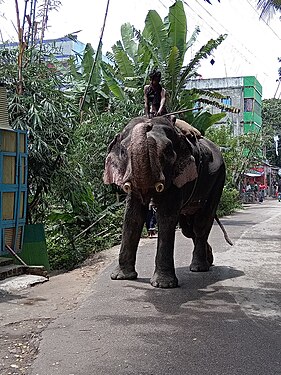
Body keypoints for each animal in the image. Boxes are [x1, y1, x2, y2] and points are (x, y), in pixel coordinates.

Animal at [104, 116, 226, 290]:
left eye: (168, 151)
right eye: (122, 152)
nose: (148, 122)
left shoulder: (178, 176)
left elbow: (166, 216)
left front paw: (163, 285)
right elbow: (132, 216)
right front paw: (121, 277)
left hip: (218, 179)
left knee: (201, 224)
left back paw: (199, 268)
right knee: (188, 230)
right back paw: (209, 260)